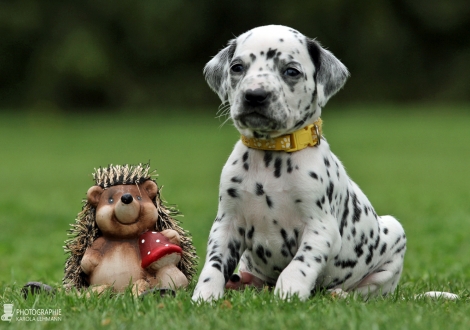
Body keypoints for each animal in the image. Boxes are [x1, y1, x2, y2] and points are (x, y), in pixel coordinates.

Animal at [193, 25, 406, 302]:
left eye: (291, 71)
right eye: (237, 67)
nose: (255, 96)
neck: (271, 153)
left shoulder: (320, 228)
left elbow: (299, 264)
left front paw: (289, 294)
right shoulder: (226, 224)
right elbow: (214, 263)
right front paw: (205, 295)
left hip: (394, 239)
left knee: (367, 290)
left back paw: (340, 294)